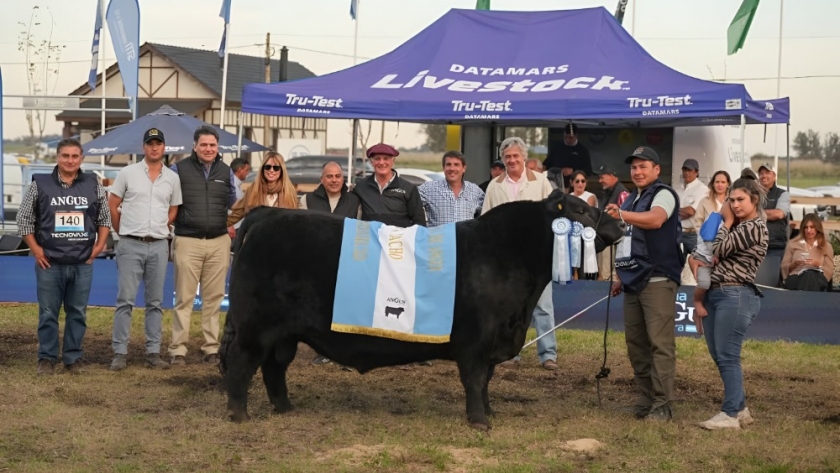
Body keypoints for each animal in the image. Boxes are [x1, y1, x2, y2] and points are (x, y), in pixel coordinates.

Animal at [220, 188, 620, 428]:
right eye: (581, 210)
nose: (617, 222)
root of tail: (267, 214)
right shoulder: (475, 342)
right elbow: (475, 379)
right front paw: (480, 421)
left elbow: (487, 381)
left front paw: (489, 412)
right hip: (255, 327)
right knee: (242, 364)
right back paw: (239, 414)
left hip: (283, 335)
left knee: (274, 368)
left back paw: (285, 407)